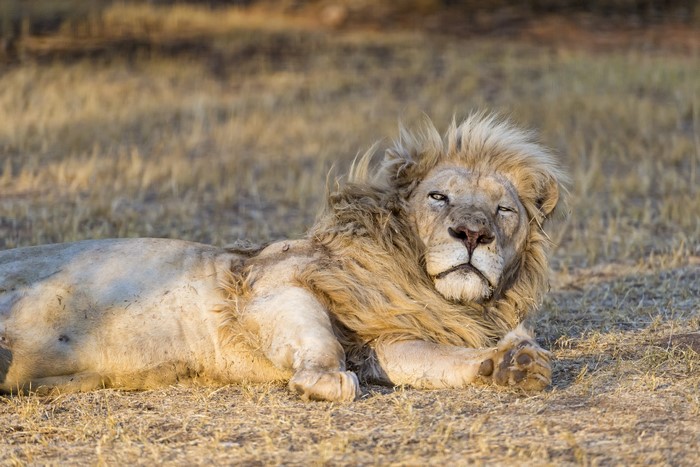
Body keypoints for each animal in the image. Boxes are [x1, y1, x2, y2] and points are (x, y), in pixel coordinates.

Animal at [0, 113, 568, 401]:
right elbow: (323, 350)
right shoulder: (270, 284)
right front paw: (323, 382)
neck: (418, 279)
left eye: (503, 210)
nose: (472, 234)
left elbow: (438, 360)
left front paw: (514, 366)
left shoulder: (384, 340)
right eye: (439, 197)